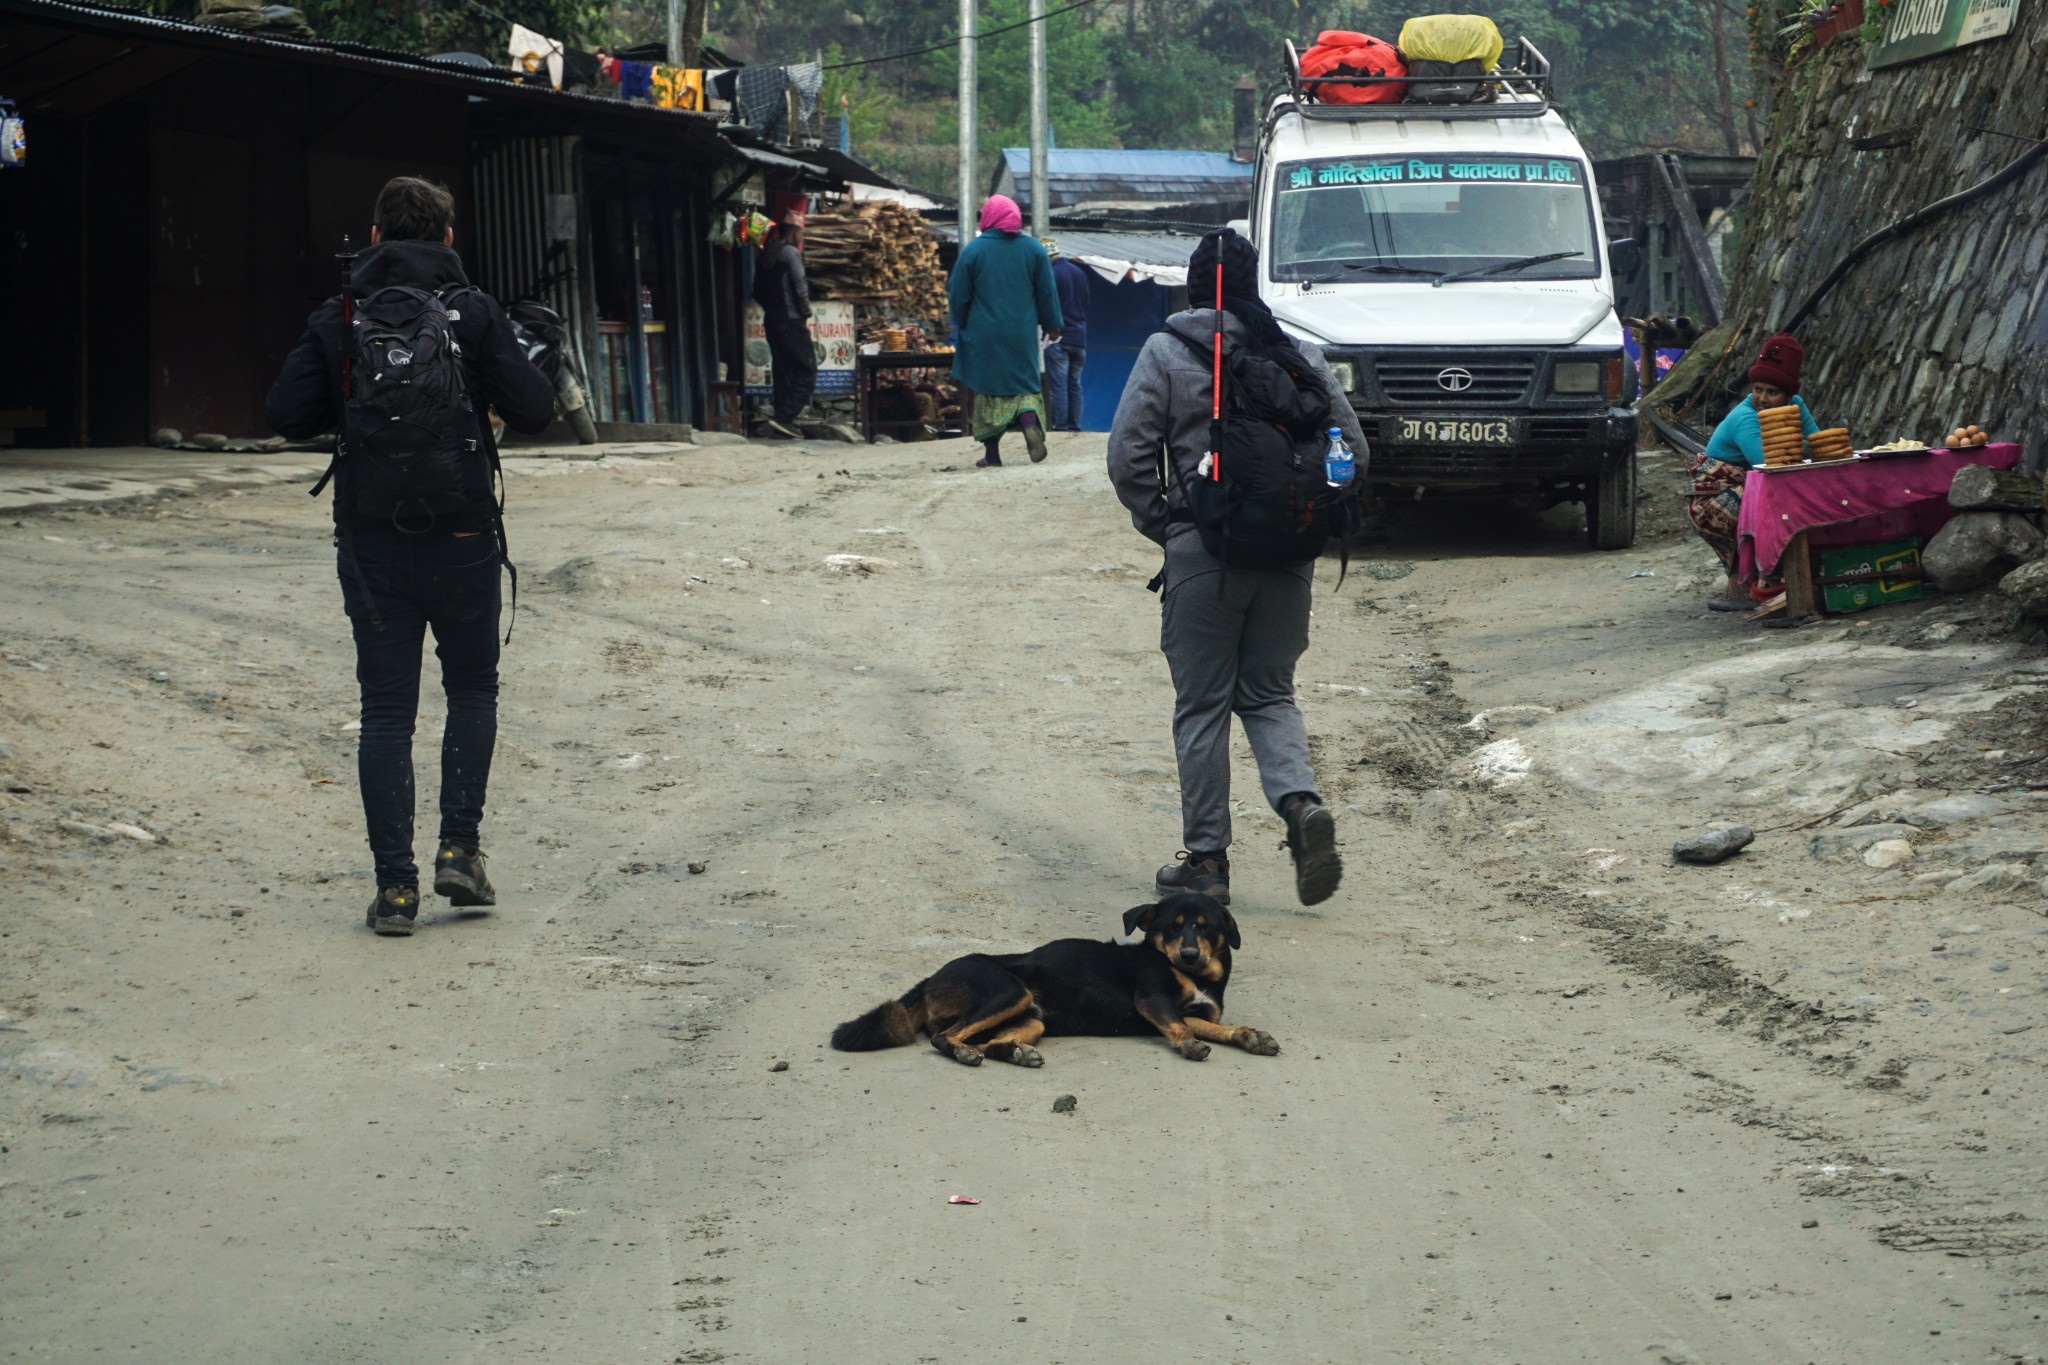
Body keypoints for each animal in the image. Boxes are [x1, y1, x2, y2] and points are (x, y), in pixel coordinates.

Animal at [831, 892, 1277, 1072]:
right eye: (1173, 927)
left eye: (1204, 928)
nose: (1187, 955)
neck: (1197, 975)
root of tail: (930, 979)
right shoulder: (1154, 1001)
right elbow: (1182, 1028)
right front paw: (1188, 1045)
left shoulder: (1193, 1010)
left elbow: (1215, 1026)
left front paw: (1249, 1036)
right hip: (1009, 991)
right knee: (946, 1038)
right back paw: (966, 1055)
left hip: (1032, 1018)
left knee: (990, 1041)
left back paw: (1015, 1054)